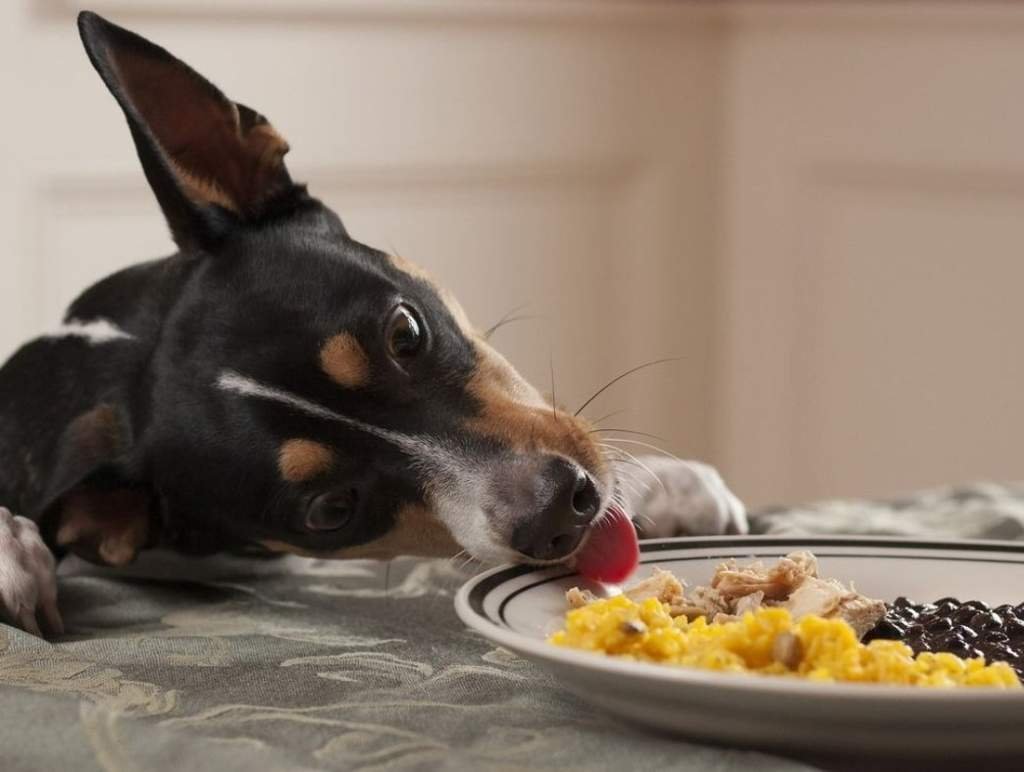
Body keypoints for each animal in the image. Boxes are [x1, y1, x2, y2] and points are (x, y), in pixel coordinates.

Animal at [0, 12, 745, 634]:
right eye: (331, 510)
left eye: (405, 333)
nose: (559, 509)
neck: (111, 354)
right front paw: (12, 555)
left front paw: (664, 486)